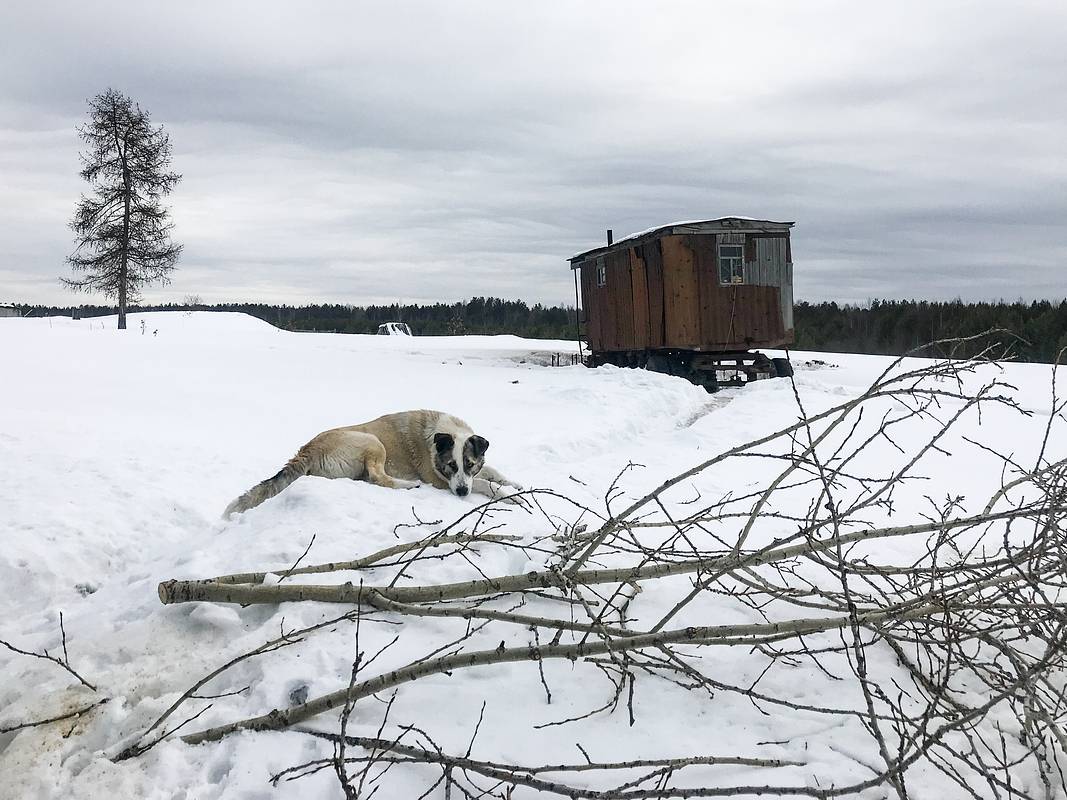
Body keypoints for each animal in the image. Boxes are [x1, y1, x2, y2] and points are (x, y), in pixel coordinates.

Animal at [223, 409, 522, 516]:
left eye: (469, 464)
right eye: (451, 466)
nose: (461, 493)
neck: (442, 434)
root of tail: (306, 450)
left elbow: (491, 470)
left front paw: (515, 485)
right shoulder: (439, 479)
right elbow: (483, 484)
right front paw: (509, 497)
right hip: (372, 441)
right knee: (378, 477)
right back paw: (408, 485)